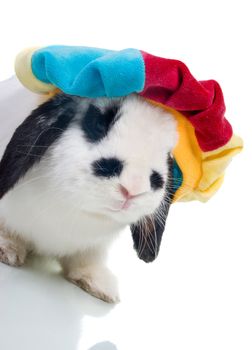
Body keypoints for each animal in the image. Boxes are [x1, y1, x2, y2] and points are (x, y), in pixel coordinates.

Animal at [0, 93, 177, 304]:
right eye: (98, 123)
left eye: (168, 154)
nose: (134, 187)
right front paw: (7, 249)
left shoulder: (95, 246)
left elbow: (86, 261)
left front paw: (99, 285)